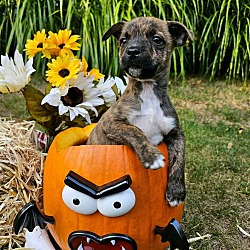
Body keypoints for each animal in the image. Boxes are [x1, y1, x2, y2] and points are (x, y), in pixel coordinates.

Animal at [87, 16, 194, 206]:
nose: (132, 51)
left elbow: (180, 156)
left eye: (157, 39)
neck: (148, 90)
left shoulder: (175, 131)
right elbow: (135, 130)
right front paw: (152, 156)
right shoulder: (111, 122)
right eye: (123, 40)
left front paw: (176, 191)